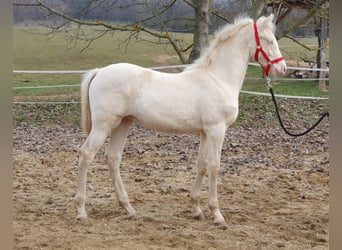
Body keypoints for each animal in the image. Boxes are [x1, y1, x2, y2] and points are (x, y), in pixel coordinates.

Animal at [75, 14, 286, 228]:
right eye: (269, 40)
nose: (282, 68)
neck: (218, 78)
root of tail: (99, 71)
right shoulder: (217, 130)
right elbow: (214, 166)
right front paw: (217, 214)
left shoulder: (205, 132)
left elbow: (202, 165)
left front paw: (196, 209)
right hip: (103, 125)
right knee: (86, 154)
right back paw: (82, 211)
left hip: (123, 123)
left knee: (113, 158)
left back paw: (129, 208)